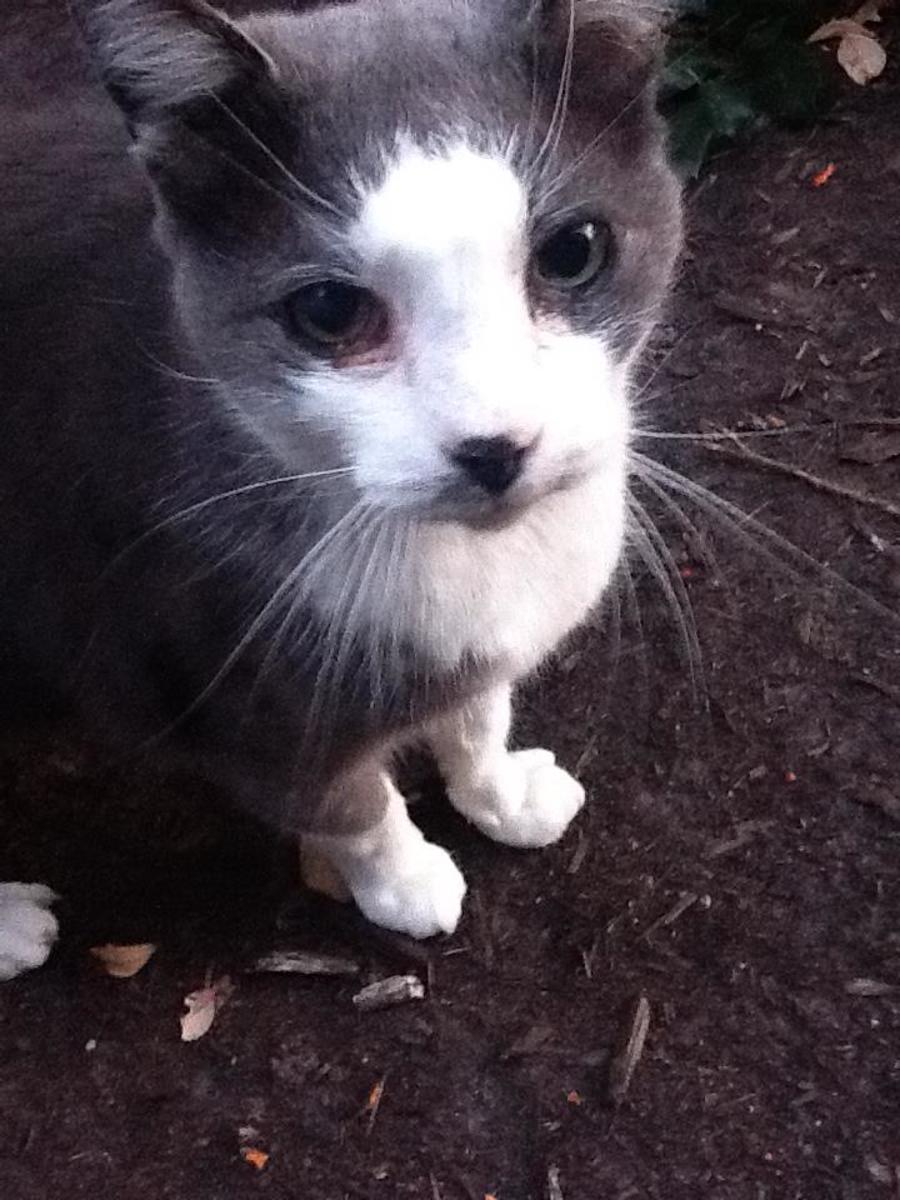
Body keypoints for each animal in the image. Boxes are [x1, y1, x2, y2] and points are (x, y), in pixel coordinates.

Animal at [0, 0, 681, 979]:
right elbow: (342, 801)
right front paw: (404, 880)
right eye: (327, 310)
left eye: (572, 252)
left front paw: (499, 788)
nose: (496, 446)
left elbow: (478, 706)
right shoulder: (216, 687)